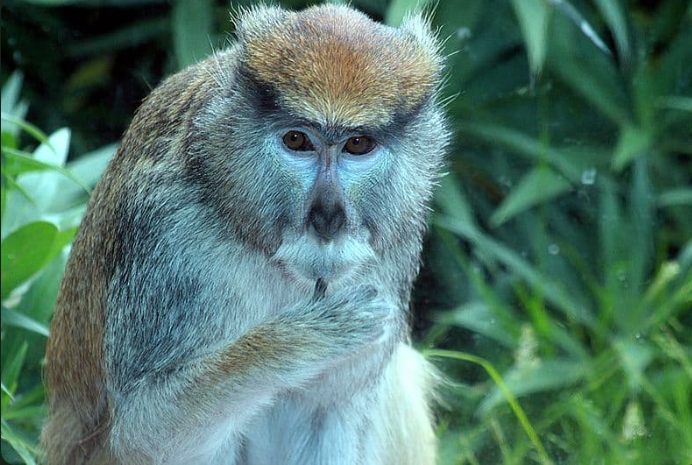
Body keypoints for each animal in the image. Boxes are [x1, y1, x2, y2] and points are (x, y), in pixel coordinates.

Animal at [41, 4, 450, 464]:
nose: (328, 217)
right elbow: (147, 431)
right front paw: (298, 341)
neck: (227, 190)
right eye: (297, 140)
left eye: (358, 145)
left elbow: (327, 410)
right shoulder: (173, 245)